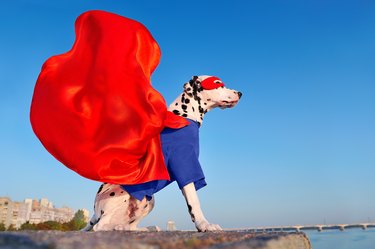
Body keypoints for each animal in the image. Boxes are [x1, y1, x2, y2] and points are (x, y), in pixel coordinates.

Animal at [82, 75, 242, 231]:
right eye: (218, 83)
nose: (240, 93)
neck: (184, 116)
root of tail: (95, 212)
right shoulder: (185, 165)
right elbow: (194, 202)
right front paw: (204, 225)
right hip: (119, 194)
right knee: (100, 226)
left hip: (149, 200)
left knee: (127, 225)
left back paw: (140, 228)